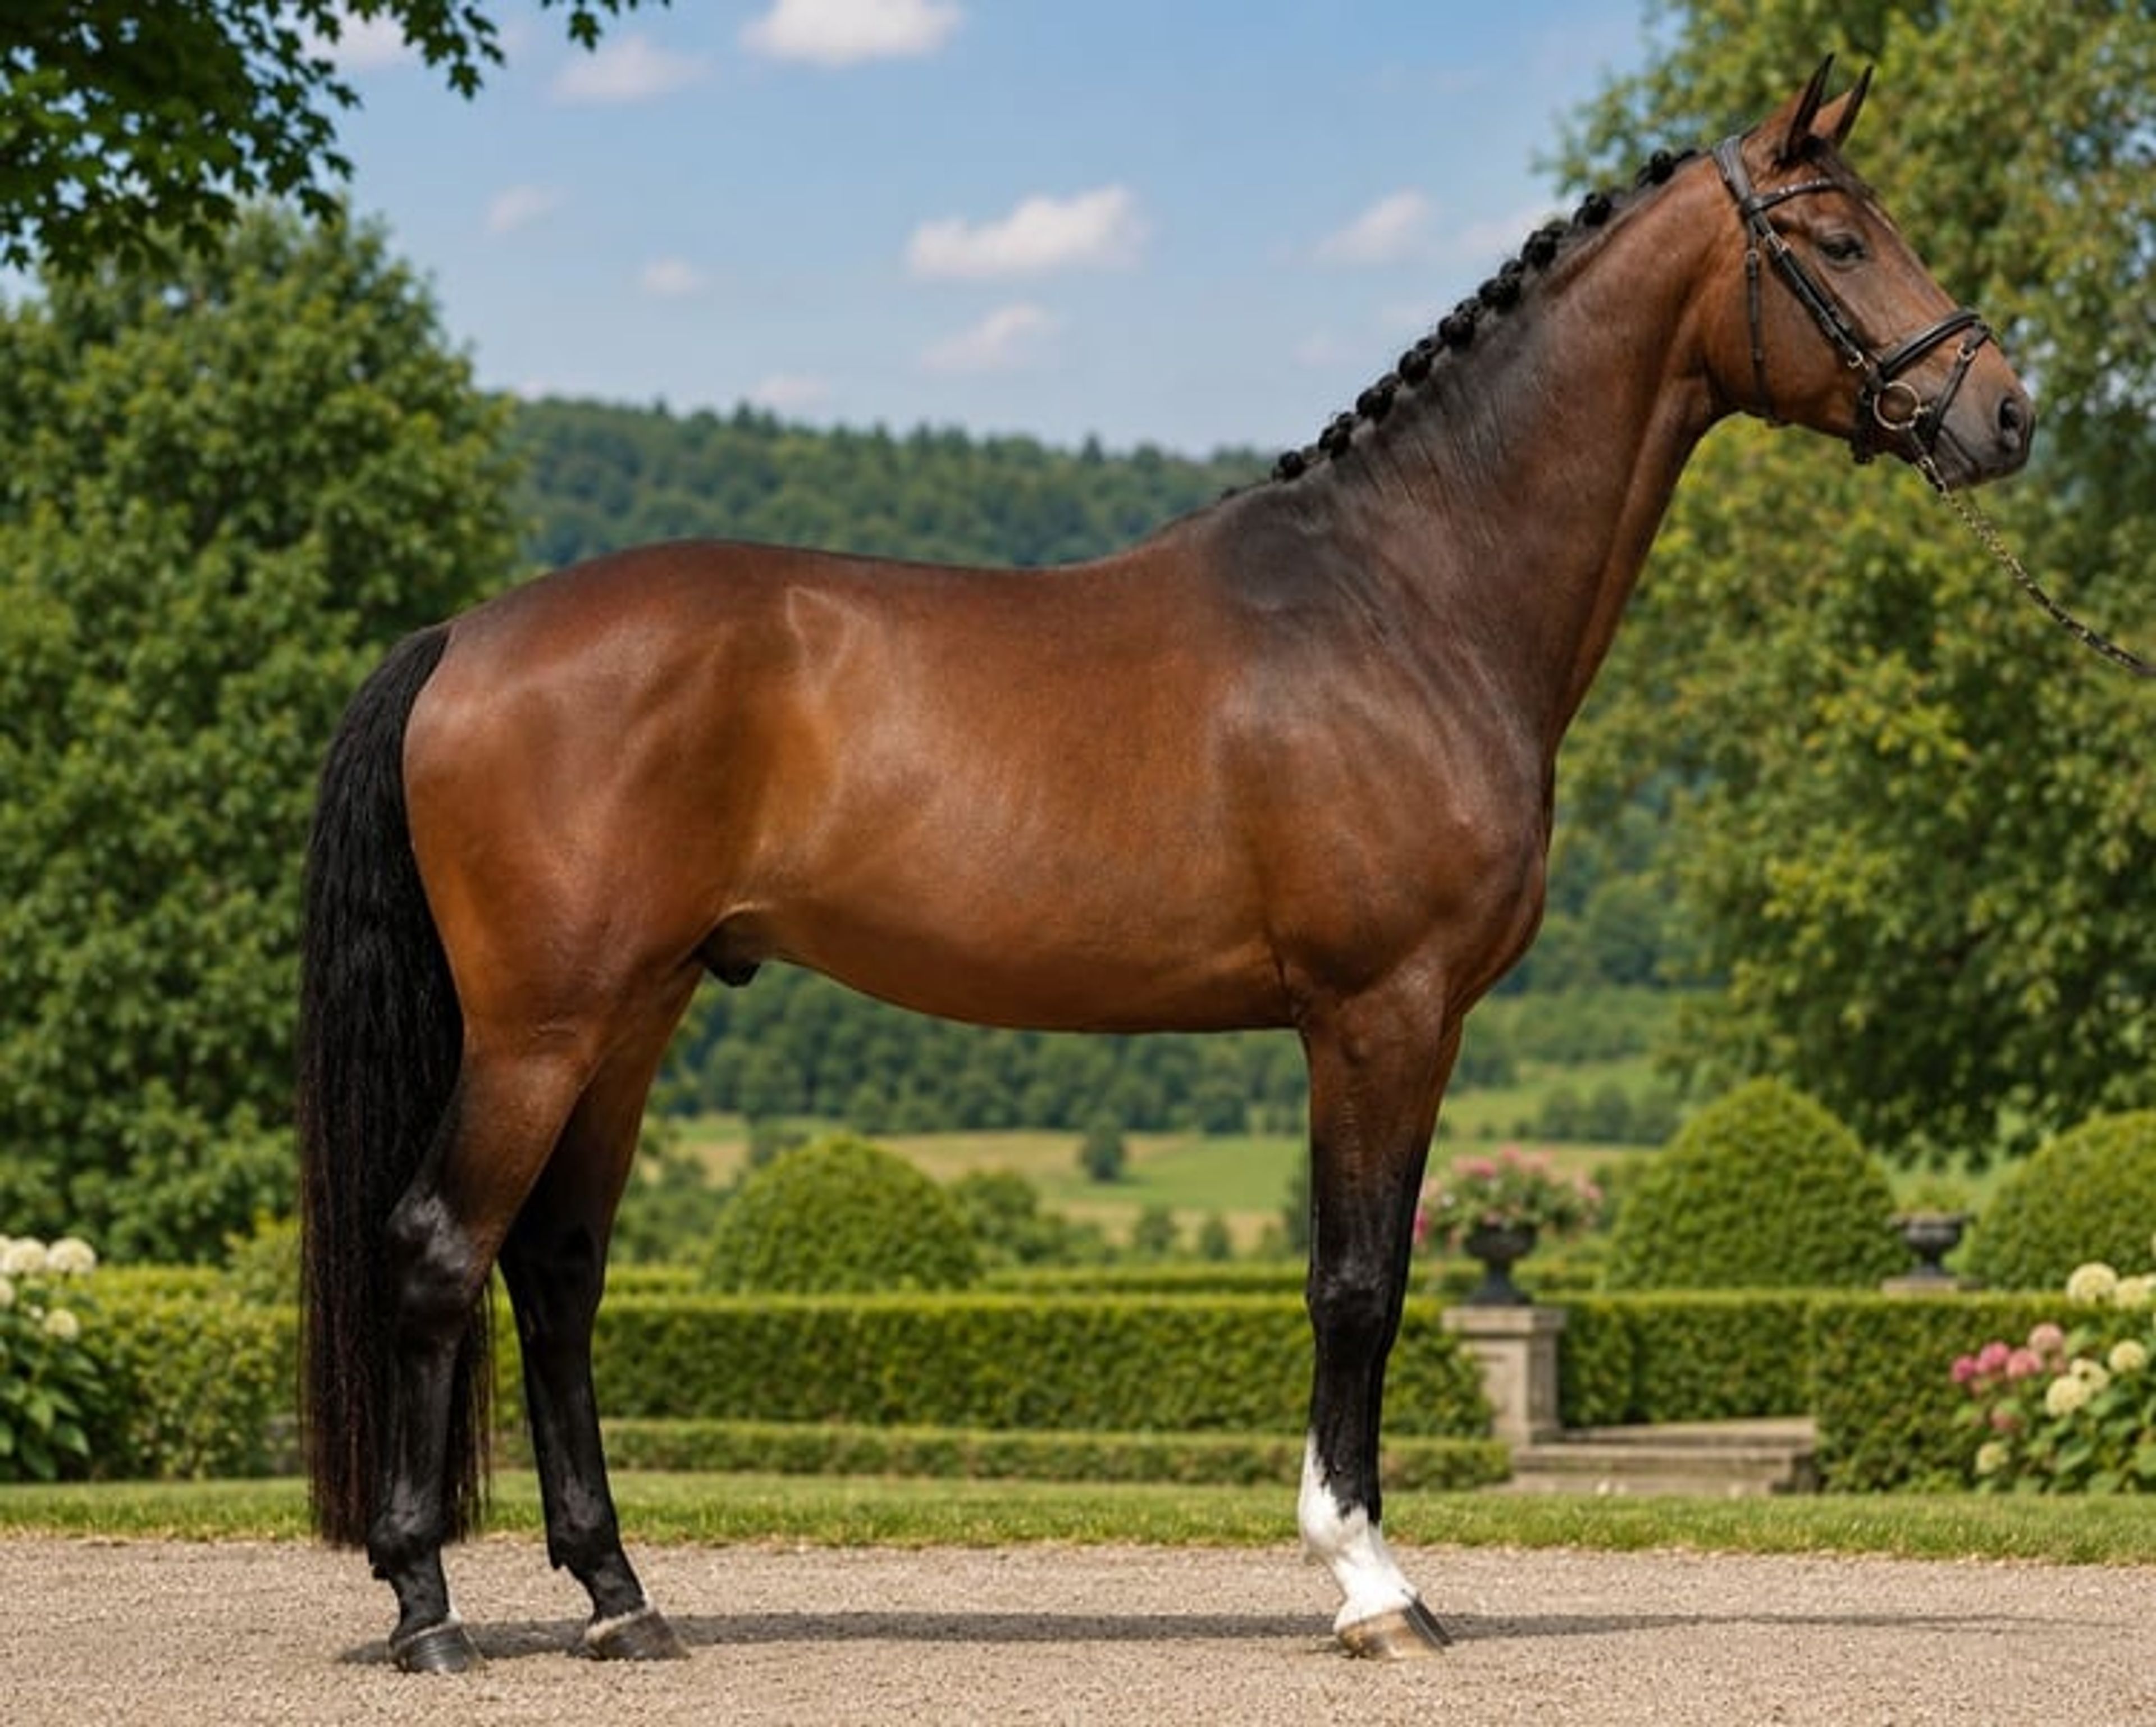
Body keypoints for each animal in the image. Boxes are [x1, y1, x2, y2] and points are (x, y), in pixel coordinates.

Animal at [298, 62, 2031, 1672]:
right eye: (1838, 238)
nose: (2003, 411)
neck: (1408, 595)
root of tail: (467, 636)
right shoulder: (1381, 1011)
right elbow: (1359, 1284)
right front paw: (1371, 1582)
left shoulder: (1393, 1022)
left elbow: (1358, 1279)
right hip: (543, 1026)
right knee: (438, 1251)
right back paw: (427, 1607)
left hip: (633, 1015)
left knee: (556, 1271)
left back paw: (619, 1597)